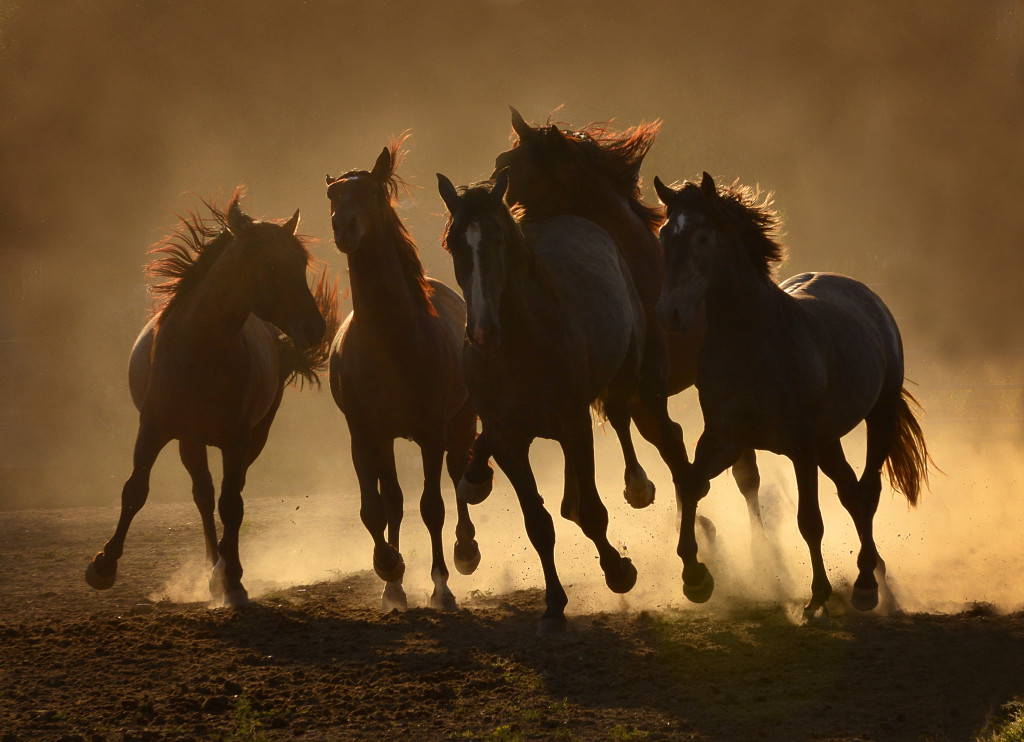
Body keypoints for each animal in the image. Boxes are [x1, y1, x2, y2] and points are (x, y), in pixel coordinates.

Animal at [87, 193, 335, 605]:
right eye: (270, 264)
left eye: (301, 264)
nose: (314, 328)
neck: (200, 350)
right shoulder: (153, 428)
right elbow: (135, 490)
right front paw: (104, 565)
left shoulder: (237, 439)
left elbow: (232, 505)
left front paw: (232, 579)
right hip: (190, 441)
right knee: (202, 494)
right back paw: (211, 563)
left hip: (252, 437)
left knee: (226, 494)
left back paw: (221, 566)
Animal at [327, 144, 483, 614]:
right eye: (332, 196)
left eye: (373, 192)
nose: (344, 226)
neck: (390, 340)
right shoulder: (365, 434)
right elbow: (377, 508)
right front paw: (389, 571)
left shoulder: (431, 430)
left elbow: (432, 507)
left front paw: (442, 587)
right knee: (394, 501)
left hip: (459, 421)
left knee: (456, 477)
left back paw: (466, 551)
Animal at [436, 171, 643, 630]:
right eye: (454, 242)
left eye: (498, 238)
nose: (481, 333)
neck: (520, 347)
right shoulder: (510, 442)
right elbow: (537, 523)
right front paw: (553, 604)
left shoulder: (574, 425)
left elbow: (594, 512)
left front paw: (618, 571)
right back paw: (475, 477)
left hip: (623, 369)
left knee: (621, 416)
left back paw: (638, 483)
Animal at [487, 108, 770, 548]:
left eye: (512, 165)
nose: (486, 197)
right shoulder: (602, 392)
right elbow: (575, 500)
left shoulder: (648, 382)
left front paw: (655, 500)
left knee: (741, 471)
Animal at [651, 170, 933, 618]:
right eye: (664, 235)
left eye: (702, 237)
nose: (669, 315)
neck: (752, 341)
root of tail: (865, 295)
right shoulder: (724, 438)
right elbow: (693, 485)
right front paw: (694, 577)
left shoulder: (800, 446)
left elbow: (810, 520)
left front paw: (817, 597)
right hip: (829, 440)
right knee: (851, 493)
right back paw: (874, 577)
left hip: (878, 417)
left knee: (867, 491)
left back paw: (866, 586)